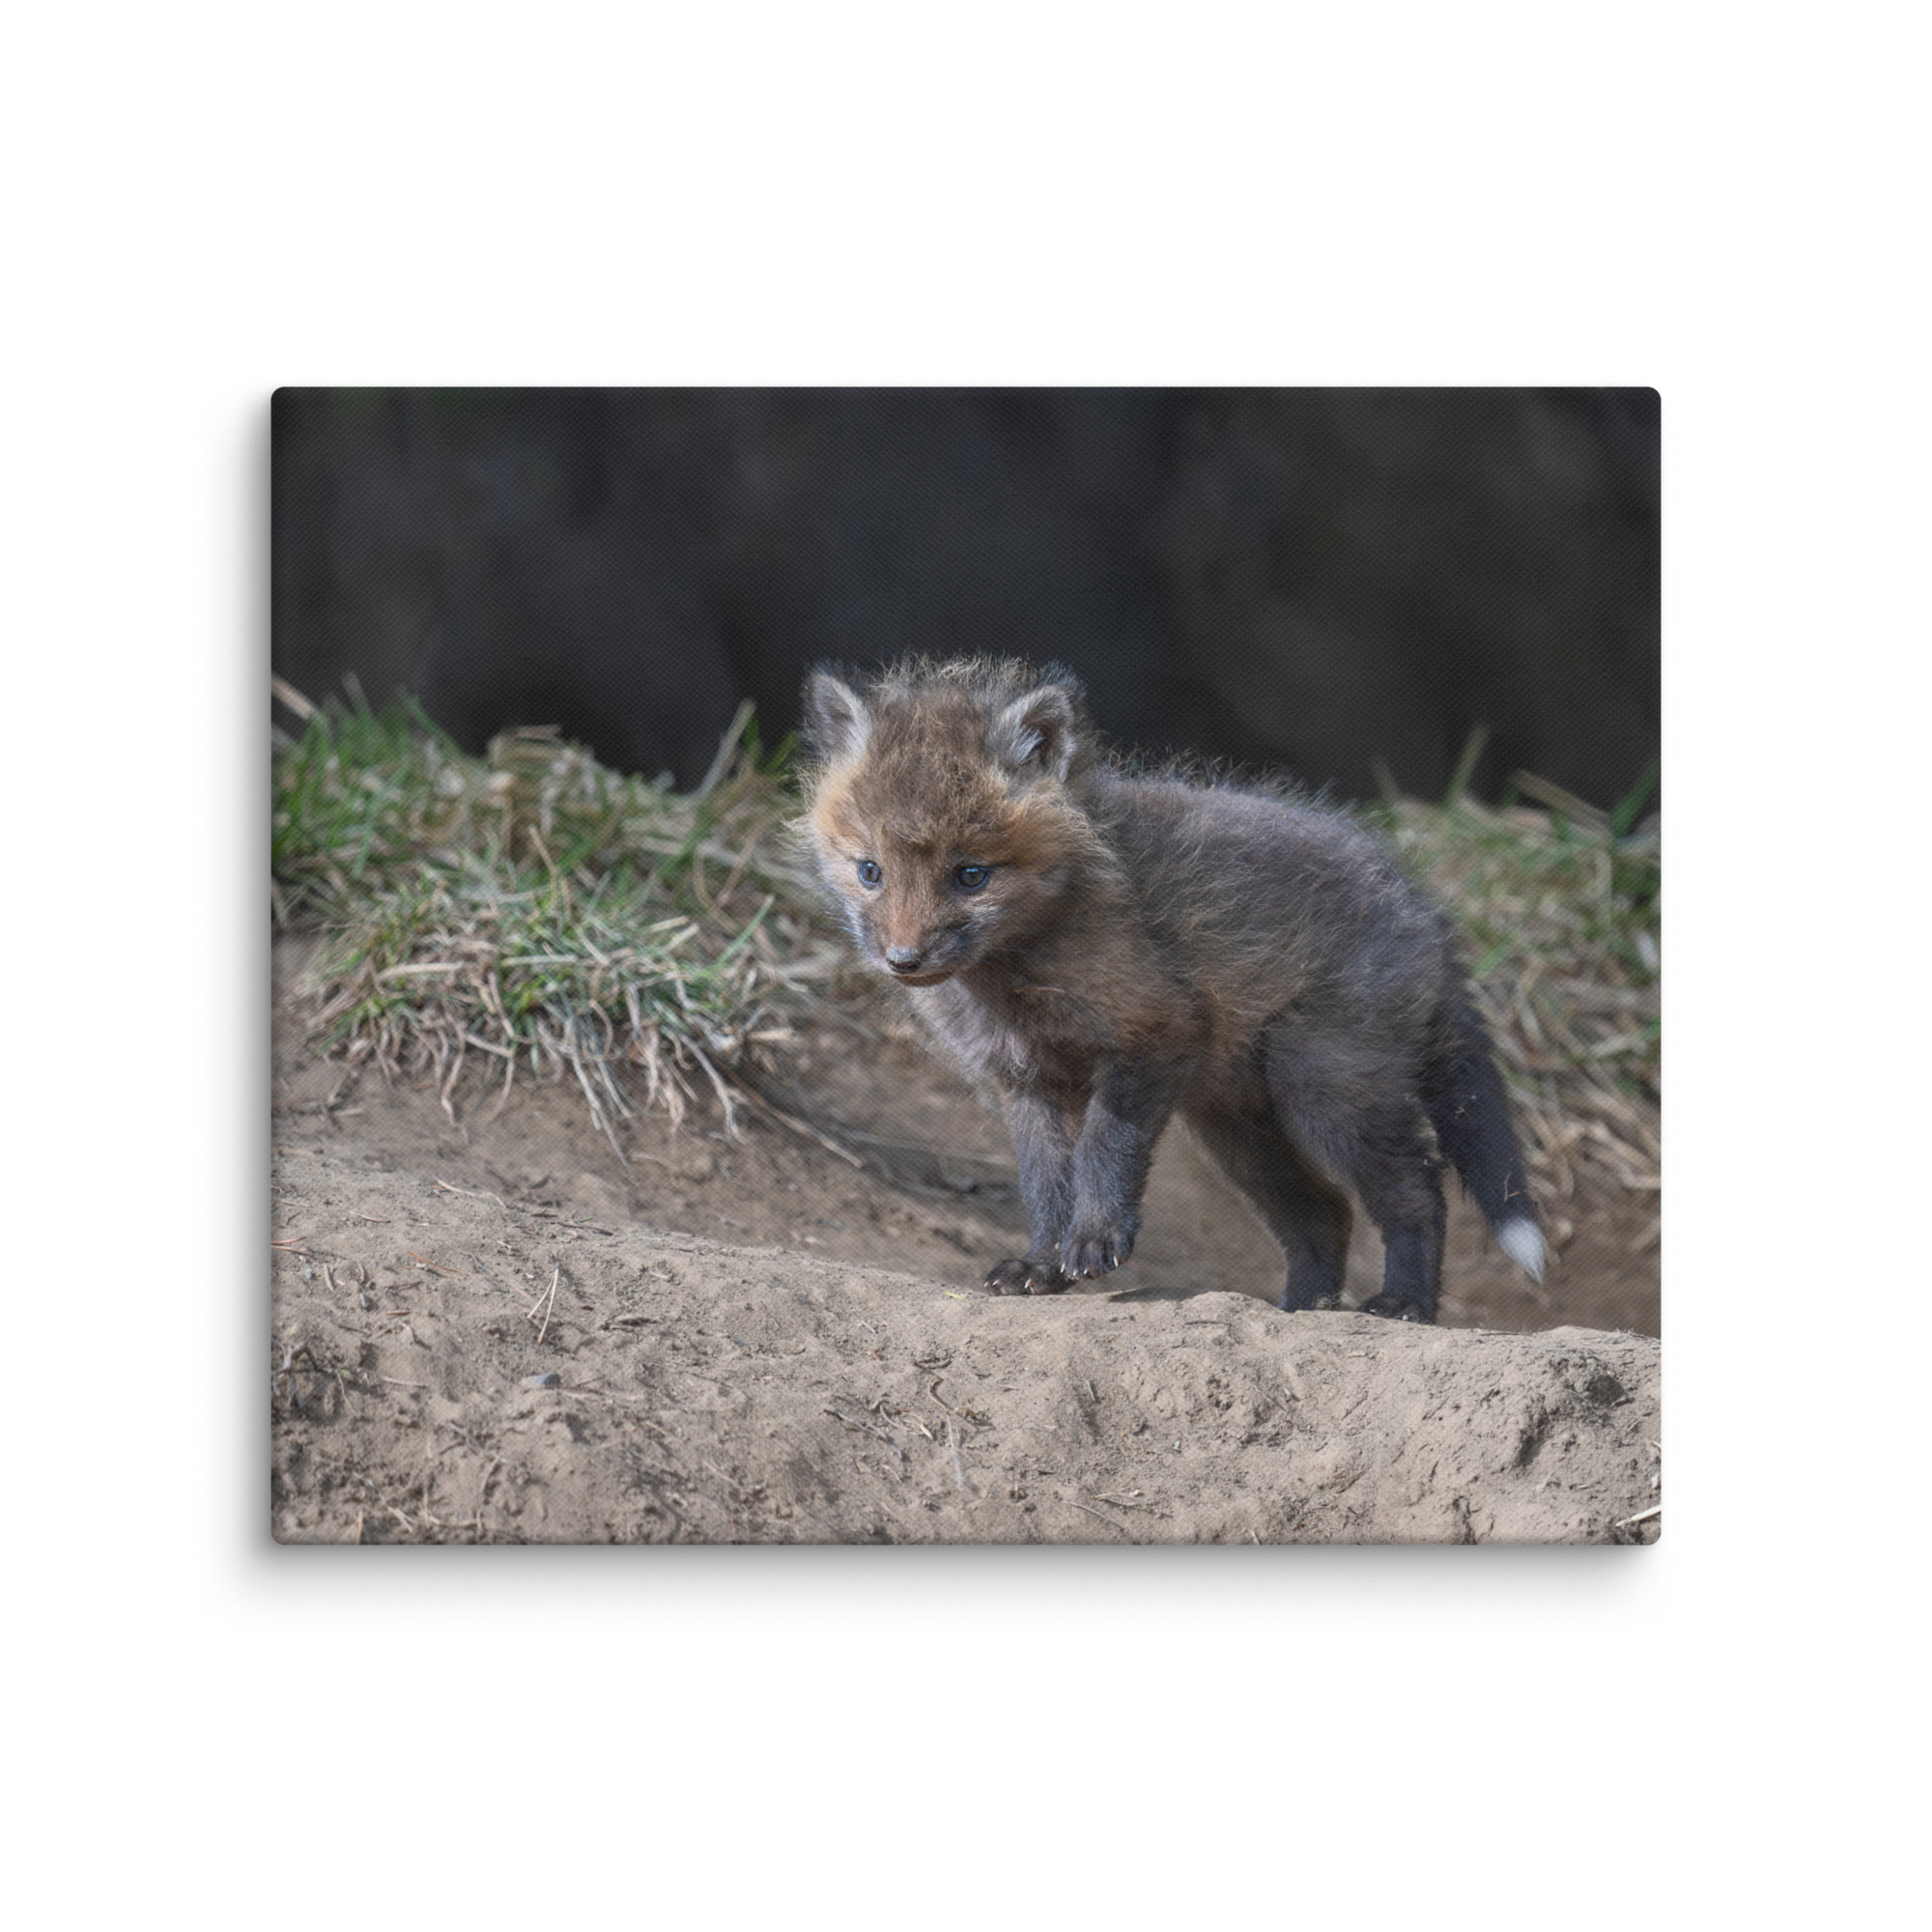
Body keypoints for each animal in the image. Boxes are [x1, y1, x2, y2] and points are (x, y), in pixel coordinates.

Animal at [798, 657, 1545, 1323]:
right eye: (870, 871)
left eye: (971, 875)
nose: (903, 960)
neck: (1015, 982)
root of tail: (1424, 909)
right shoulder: (1026, 1081)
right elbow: (1044, 1184)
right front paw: (1041, 1264)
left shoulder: (1152, 1032)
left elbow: (1104, 1150)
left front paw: (1095, 1240)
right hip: (1239, 1128)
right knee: (1324, 1214)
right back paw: (1302, 1309)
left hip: (1326, 1090)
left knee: (1418, 1189)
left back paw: (1405, 1303)